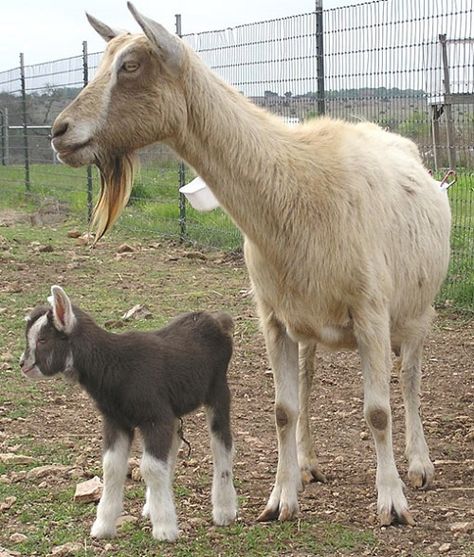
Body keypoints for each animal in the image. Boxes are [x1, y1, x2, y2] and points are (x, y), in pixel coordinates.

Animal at [51, 3, 452, 524]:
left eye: (131, 65)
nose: (59, 133)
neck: (300, 188)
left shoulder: (371, 313)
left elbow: (378, 411)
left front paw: (392, 502)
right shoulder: (274, 317)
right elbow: (283, 409)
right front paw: (281, 499)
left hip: (417, 311)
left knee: (410, 381)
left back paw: (420, 465)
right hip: (310, 324)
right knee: (309, 382)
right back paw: (308, 464)